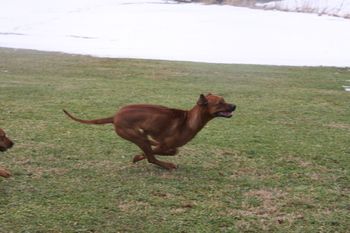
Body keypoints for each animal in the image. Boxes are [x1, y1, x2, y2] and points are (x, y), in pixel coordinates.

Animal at [64, 93, 237, 170]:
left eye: (224, 100)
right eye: (221, 102)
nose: (235, 105)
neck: (189, 120)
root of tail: (115, 116)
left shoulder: (163, 143)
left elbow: (169, 150)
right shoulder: (165, 144)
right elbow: (159, 152)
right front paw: (138, 156)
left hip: (141, 135)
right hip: (138, 136)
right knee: (151, 158)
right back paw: (167, 165)